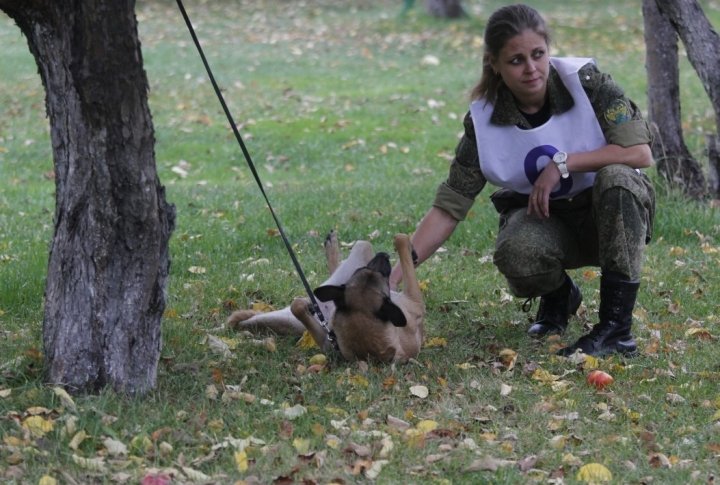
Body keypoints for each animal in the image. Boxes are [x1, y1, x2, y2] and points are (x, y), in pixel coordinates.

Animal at [228, 232, 424, 364]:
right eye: (365, 270)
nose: (383, 255)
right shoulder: (414, 300)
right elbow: (402, 244)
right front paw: (406, 246)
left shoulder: (327, 343)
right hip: (362, 250)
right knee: (363, 243)